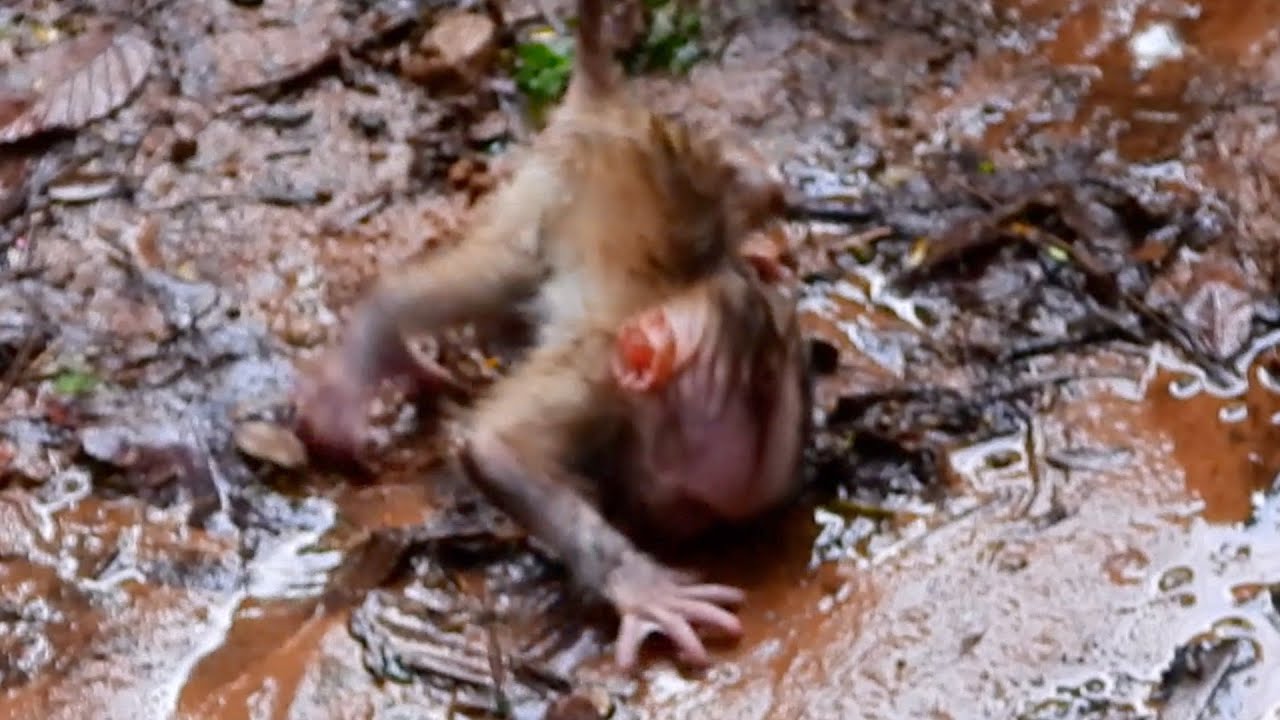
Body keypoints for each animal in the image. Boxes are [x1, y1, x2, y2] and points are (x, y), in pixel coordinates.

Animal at [295, 0, 805, 669]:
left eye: (700, 519)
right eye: (688, 501)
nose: (666, 530)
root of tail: (608, 103)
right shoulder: (590, 378)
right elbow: (497, 448)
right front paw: (641, 586)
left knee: (760, 186)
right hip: (551, 181)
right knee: (498, 272)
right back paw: (379, 338)